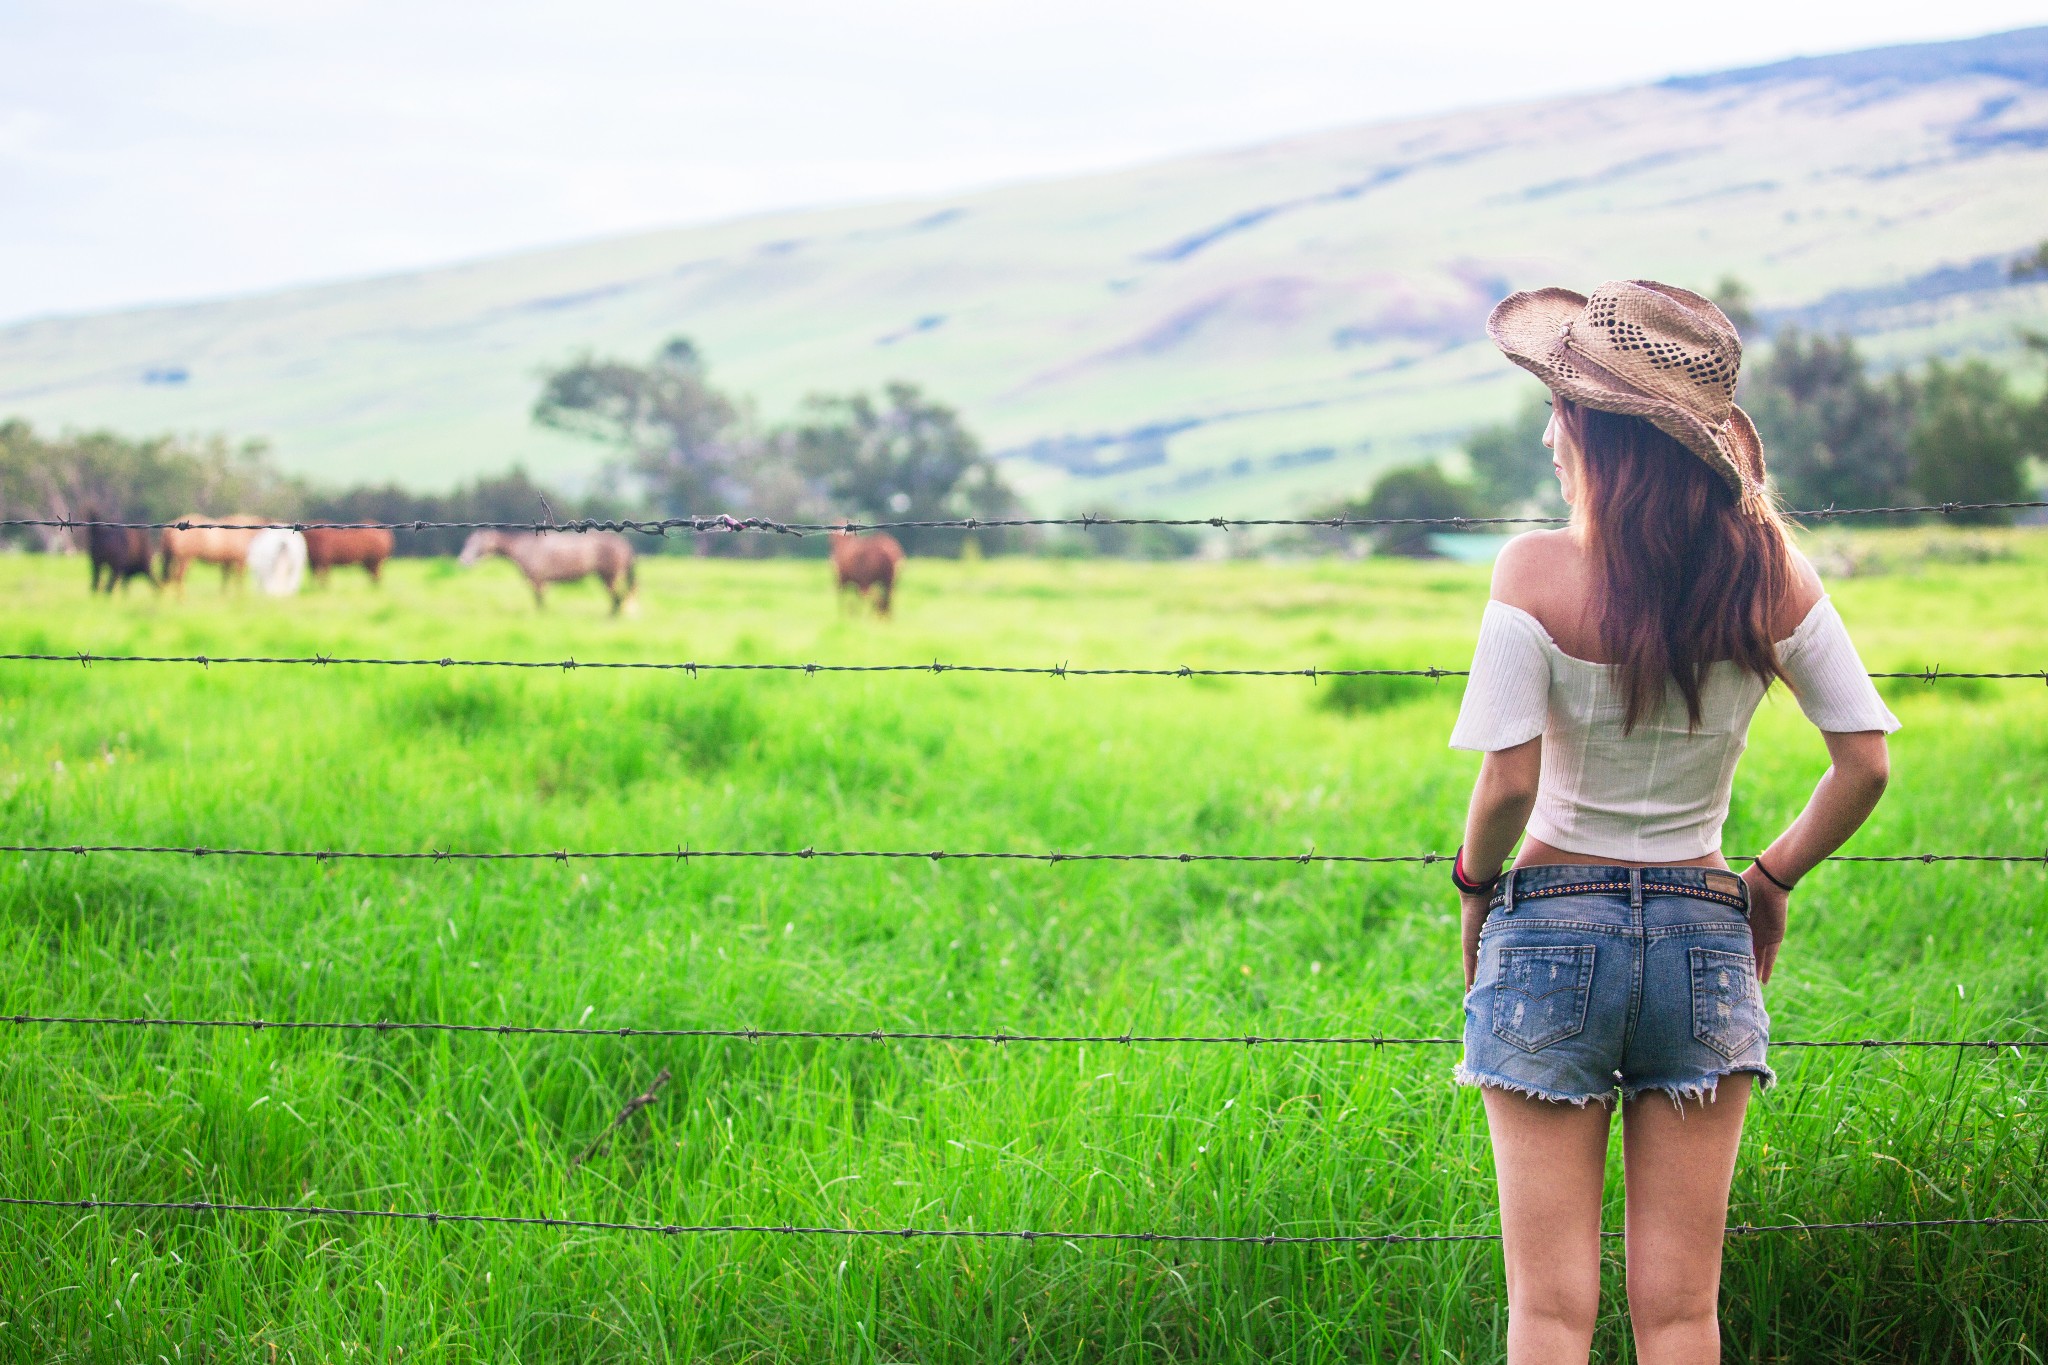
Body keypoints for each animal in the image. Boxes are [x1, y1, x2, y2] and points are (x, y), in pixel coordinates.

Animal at [460, 527, 634, 613]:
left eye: (477, 543)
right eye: (467, 542)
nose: (463, 561)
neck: (525, 547)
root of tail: (622, 544)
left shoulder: (537, 580)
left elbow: (539, 600)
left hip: (609, 576)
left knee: (617, 598)